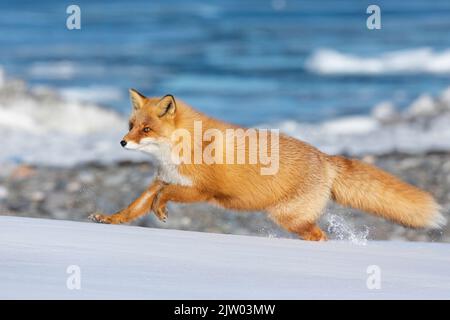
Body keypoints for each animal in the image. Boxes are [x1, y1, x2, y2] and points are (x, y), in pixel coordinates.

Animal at [89, 89, 446, 240]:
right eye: (131, 125)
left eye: (146, 129)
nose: (122, 143)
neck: (181, 147)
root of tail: (325, 158)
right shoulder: (162, 178)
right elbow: (134, 207)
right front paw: (109, 219)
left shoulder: (204, 190)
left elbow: (163, 199)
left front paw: (161, 211)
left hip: (287, 216)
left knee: (319, 236)